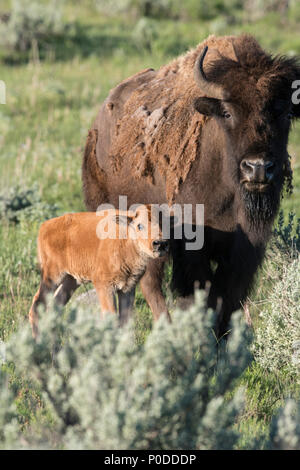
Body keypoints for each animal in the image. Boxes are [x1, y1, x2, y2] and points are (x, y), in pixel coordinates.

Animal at [28, 205, 169, 338]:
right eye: (140, 225)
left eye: (164, 223)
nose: (160, 244)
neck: (125, 239)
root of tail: (45, 226)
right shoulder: (104, 286)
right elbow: (111, 318)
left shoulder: (128, 288)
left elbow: (125, 322)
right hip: (52, 275)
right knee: (37, 305)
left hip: (71, 280)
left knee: (54, 307)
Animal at [81, 34, 298, 338]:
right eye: (227, 113)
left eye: (287, 114)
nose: (257, 167)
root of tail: (98, 124)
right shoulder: (191, 247)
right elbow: (196, 296)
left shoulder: (246, 250)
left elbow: (227, 297)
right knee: (150, 285)